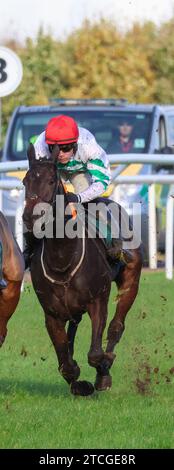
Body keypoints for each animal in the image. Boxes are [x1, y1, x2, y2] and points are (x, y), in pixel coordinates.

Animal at [23, 145, 142, 394]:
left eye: (51, 180)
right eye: (25, 181)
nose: (30, 216)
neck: (62, 260)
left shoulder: (98, 301)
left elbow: (96, 354)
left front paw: (103, 373)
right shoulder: (51, 314)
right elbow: (66, 364)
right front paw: (79, 383)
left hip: (131, 279)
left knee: (116, 326)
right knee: (72, 332)